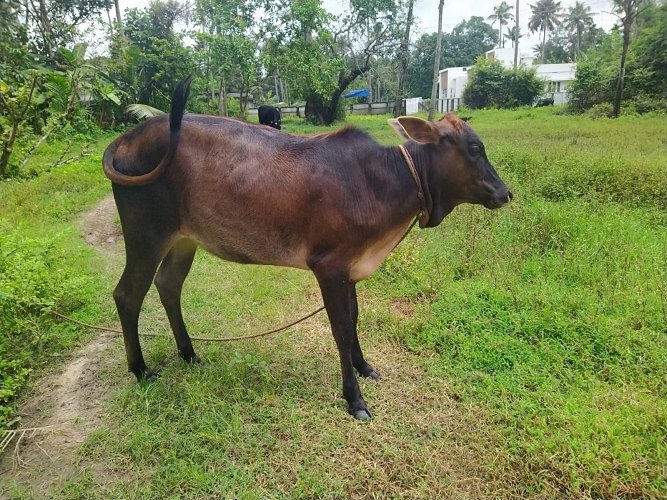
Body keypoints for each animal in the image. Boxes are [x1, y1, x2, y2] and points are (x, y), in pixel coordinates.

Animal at [102, 77, 512, 420]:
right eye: (475, 148)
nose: (505, 193)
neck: (384, 180)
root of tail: (129, 136)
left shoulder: (350, 269)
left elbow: (354, 318)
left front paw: (364, 366)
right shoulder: (328, 266)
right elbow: (341, 328)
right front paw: (354, 398)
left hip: (184, 239)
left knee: (169, 286)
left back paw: (189, 354)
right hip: (146, 234)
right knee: (127, 294)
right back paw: (140, 369)